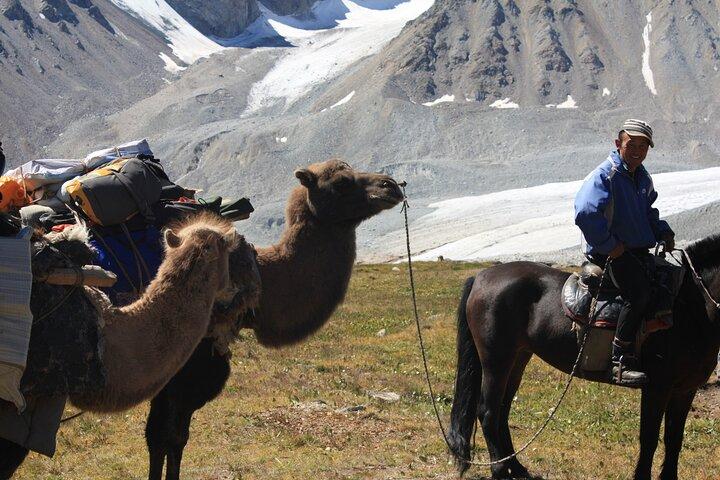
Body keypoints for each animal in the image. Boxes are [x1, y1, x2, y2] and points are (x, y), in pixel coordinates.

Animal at [448, 235, 720, 480]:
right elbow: (650, 438)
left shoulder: (685, 390)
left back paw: (517, 468)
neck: (691, 308)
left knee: (502, 412)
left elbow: (674, 438)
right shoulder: (657, 388)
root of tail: (481, 277)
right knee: (488, 412)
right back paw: (500, 471)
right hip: (496, 361)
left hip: (518, 358)